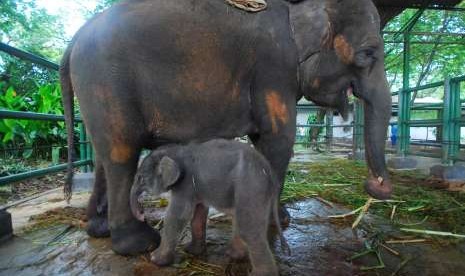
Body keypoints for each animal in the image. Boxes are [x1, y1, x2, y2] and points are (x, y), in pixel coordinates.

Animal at [59, 0, 392, 256]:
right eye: (368, 53)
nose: (376, 184)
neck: (300, 10)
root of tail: (74, 39)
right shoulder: (274, 68)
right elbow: (277, 142)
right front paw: (273, 223)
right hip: (106, 81)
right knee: (121, 154)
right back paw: (139, 244)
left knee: (102, 155)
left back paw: (98, 229)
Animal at [129, 139, 284, 274]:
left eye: (141, 179)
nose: (142, 214)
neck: (177, 150)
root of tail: (270, 173)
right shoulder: (196, 187)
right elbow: (198, 213)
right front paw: (191, 251)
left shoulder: (185, 184)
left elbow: (177, 216)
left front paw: (155, 259)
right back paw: (232, 254)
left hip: (251, 187)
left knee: (248, 229)